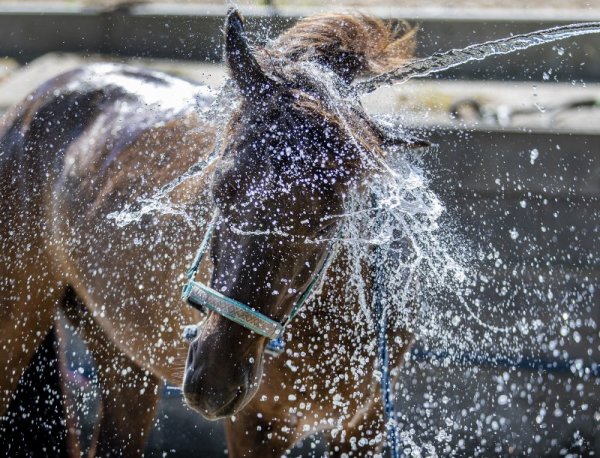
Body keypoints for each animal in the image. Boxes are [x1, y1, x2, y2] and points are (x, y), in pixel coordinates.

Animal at [1, 8, 422, 456]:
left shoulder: (364, 423)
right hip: (16, 324)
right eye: (219, 188)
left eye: (327, 217)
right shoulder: (255, 424)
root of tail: (38, 97)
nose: (213, 379)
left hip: (123, 359)